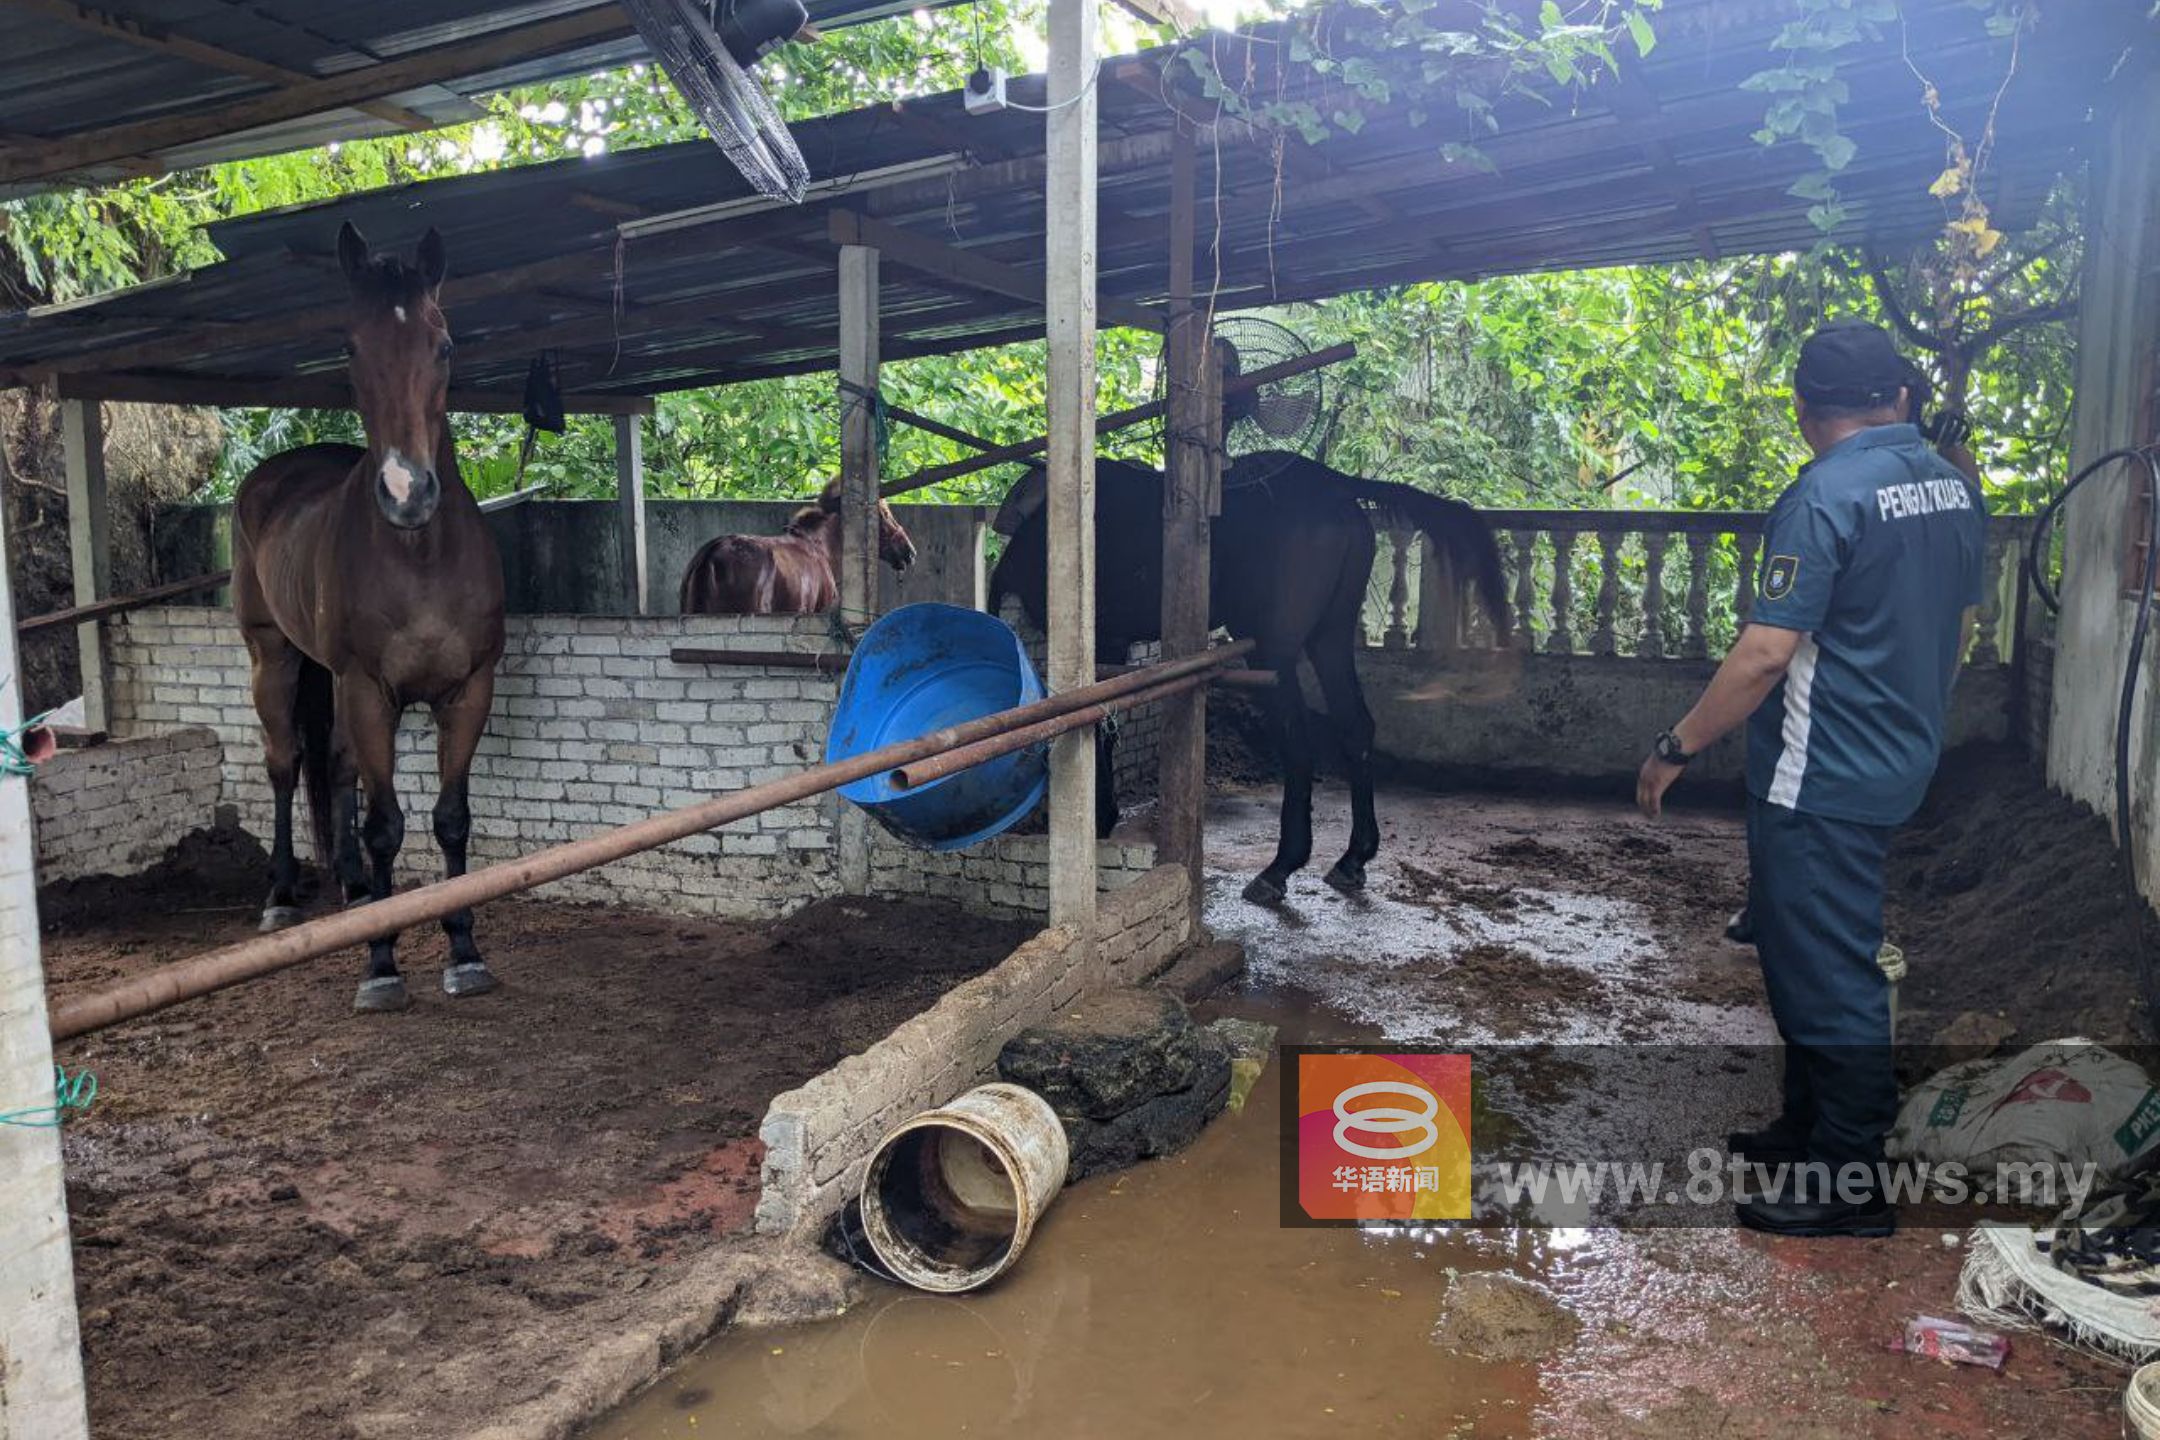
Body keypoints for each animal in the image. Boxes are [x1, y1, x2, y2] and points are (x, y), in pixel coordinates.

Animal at [232, 225, 505, 1014]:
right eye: (350, 346)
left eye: (444, 345)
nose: (406, 492)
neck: (420, 554)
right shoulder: (368, 691)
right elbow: (387, 826)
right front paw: (381, 963)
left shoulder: (468, 691)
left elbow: (450, 818)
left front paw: (464, 950)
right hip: (273, 658)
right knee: (286, 763)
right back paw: (284, 896)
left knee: (336, 768)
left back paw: (355, 890)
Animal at [989, 455, 1512, 906]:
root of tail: (1336, 486)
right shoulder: (1113, 644)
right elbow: (1105, 724)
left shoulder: (1098, 640)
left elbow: (1096, 721)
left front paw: (1099, 816)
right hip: (1330, 635)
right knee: (1355, 726)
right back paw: (1353, 858)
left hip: (1274, 648)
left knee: (1299, 741)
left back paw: (1279, 868)